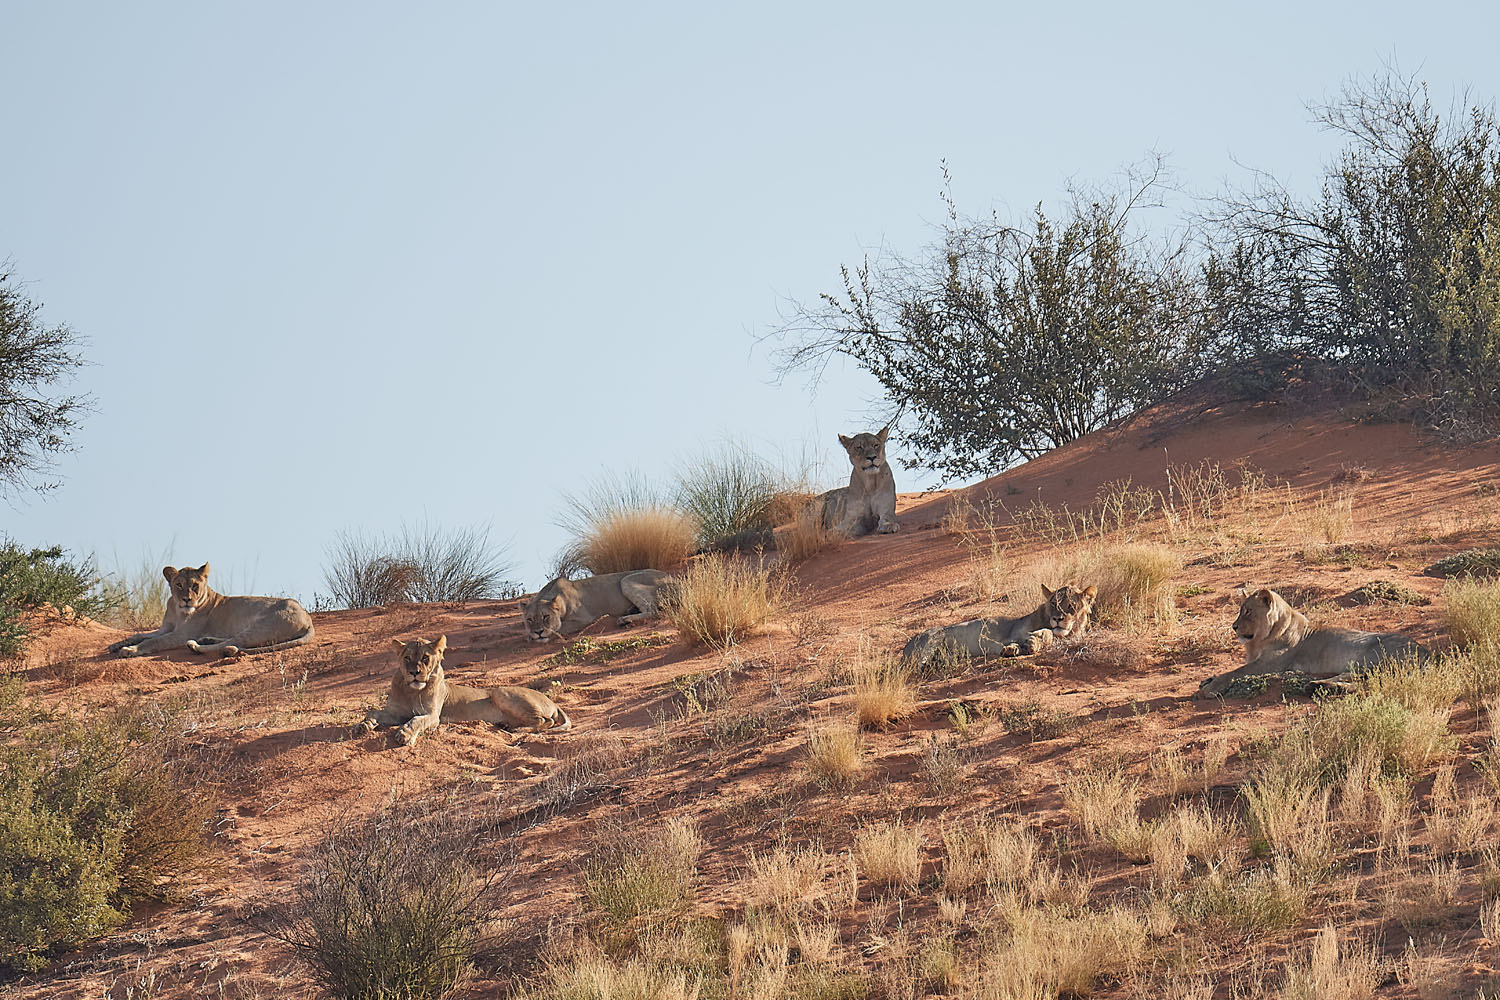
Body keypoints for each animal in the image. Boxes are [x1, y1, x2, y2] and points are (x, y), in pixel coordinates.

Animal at [106, 566, 313, 659]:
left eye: (194, 586)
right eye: (178, 585)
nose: (187, 599)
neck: (177, 610)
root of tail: (307, 617)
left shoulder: (182, 634)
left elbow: (153, 641)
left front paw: (130, 650)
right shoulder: (166, 628)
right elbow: (139, 634)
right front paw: (115, 645)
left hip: (261, 625)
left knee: (232, 643)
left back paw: (196, 646)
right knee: (231, 640)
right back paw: (207, 639)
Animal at [357, 638, 573, 746]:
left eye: (425, 658)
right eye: (407, 658)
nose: (414, 673)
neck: (412, 691)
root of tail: (553, 702)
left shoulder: (433, 716)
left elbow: (416, 720)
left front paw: (405, 735)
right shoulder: (396, 711)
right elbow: (373, 712)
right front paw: (363, 725)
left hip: (500, 691)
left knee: (546, 721)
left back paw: (516, 730)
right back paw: (507, 725)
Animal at [522, 569, 675, 641]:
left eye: (546, 616)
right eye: (529, 619)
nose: (538, 632)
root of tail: (672, 578)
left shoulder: (584, 619)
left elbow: (560, 628)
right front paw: (531, 635)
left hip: (627, 580)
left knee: (654, 610)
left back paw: (624, 620)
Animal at [900, 581, 1104, 668]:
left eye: (1071, 606)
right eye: (1053, 604)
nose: (1057, 618)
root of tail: (905, 647)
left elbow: (1049, 635)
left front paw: (1024, 646)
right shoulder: (1015, 631)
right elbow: (1046, 633)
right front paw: (1027, 643)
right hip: (933, 638)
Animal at [1194, 587, 1428, 695]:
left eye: (1248, 611)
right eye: (1240, 611)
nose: (1234, 627)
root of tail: (1427, 653)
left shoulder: (1270, 664)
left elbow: (1236, 672)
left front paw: (1210, 687)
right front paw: (1207, 680)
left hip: (1369, 657)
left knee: (1364, 682)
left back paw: (1316, 686)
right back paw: (1317, 687)